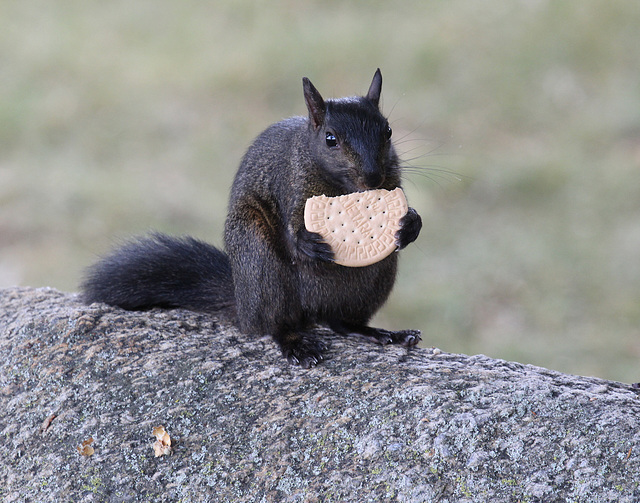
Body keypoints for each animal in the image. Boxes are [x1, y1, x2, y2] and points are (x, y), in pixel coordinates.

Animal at [82, 69, 422, 368]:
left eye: (388, 131)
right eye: (330, 139)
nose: (373, 177)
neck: (342, 186)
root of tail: (243, 306)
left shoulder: (393, 177)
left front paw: (410, 224)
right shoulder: (290, 184)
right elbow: (292, 231)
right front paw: (308, 243)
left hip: (374, 279)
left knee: (341, 322)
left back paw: (379, 333)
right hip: (260, 261)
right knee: (273, 325)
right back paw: (296, 344)